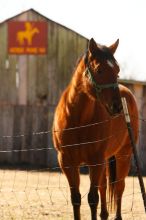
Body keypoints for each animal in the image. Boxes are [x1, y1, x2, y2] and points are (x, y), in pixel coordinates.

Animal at [52, 38, 138, 219]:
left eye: (117, 70)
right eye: (99, 70)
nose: (117, 106)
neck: (78, 120)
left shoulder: (95, 161)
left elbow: (92, 198)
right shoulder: (67, 162)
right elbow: (76, 198)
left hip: (123, 155)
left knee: (119, 187)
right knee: (104, 187)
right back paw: (104, 214)